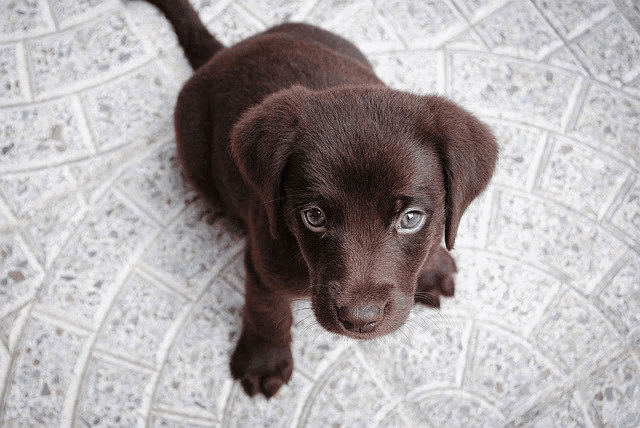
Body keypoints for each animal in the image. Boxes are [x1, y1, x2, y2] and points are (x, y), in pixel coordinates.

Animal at [142, 0, 498, 400]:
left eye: (411, 218)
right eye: (314, 216)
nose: (359, 319)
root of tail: (224, 53)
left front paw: (433, 265)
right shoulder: (264, 259)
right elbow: (267, 309)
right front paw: (263, 361)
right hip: (195, 155)